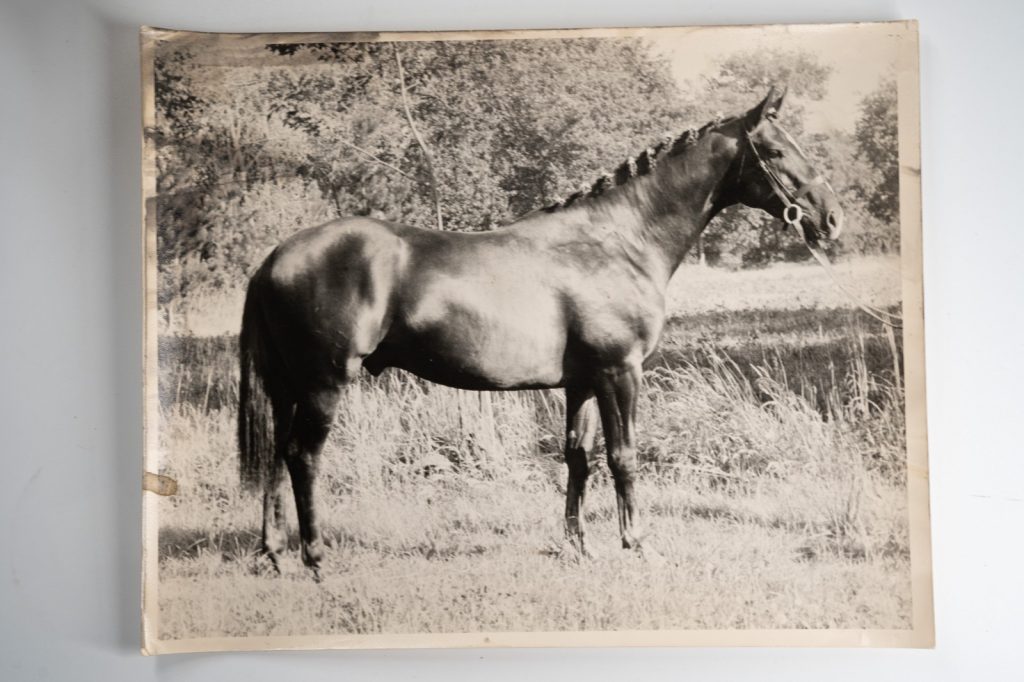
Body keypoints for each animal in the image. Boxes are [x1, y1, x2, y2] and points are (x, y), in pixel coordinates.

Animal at [237, 86, 844, 579]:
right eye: (778, 151)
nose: (832, 219)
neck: (618, 241)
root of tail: (273, 258)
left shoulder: (581, 383)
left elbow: (579, 458)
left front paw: (579, 546)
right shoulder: (620, 373)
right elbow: (624, 457)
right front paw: (637, 544)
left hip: (289, 386)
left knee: (274, 454)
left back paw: (275, 553)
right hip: (324, 383)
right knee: (302, 456)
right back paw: (316, 558)